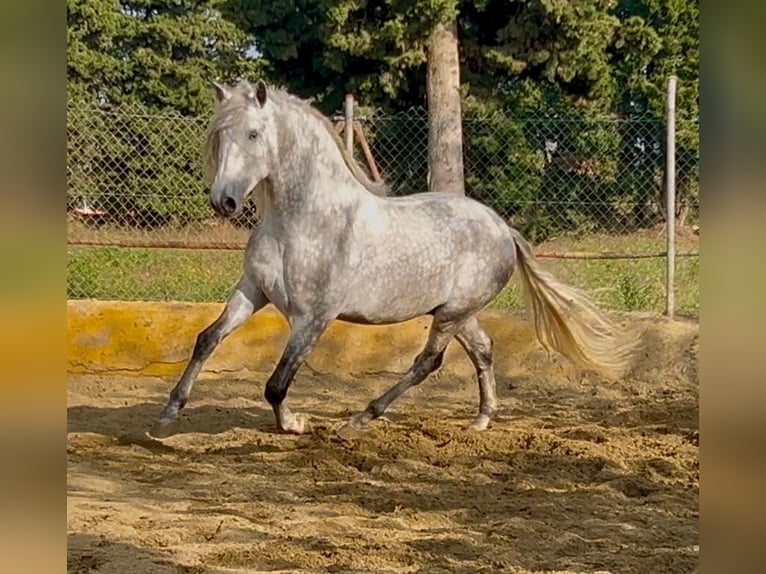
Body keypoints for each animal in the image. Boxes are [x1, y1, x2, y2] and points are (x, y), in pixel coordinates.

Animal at [154, 80, 636, 436]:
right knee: (482, 350)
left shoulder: (313, 318)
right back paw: (481, 420)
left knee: (428, 362)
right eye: (220, 135)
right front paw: (170, 410)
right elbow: (207, 339)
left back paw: (361, 419)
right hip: (457, 313)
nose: (224, 202)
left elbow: (276, 384)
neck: (303, 219)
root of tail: (503, 229)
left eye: (253, 134)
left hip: (452, 313)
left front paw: (294, 424)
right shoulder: (253, 291)